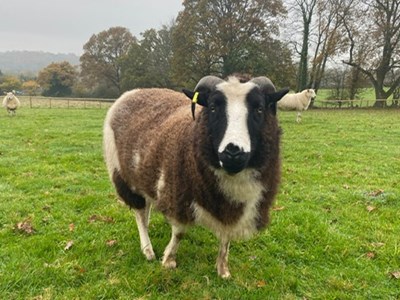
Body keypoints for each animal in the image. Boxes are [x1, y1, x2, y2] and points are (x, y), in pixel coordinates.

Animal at [104, 75, 290, 278]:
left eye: (259, 108)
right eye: (213, 107)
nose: (233, 152)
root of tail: (135, 91)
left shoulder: (232, 207)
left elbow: (226, 238)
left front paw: (223, 269)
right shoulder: (178, 195)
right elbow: (179, 233)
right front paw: (169, 260)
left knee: (146, 209)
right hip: (123, 176)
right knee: (139, 213)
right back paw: (147, 250)